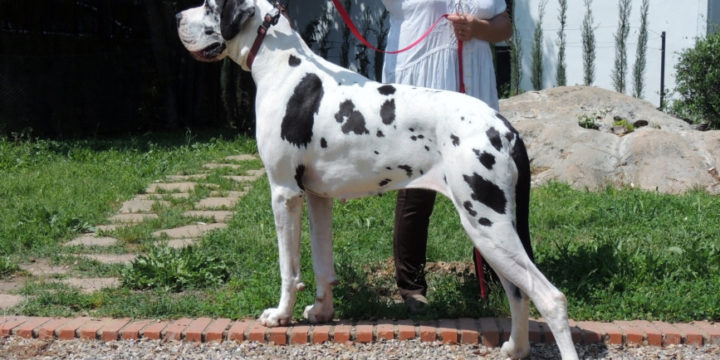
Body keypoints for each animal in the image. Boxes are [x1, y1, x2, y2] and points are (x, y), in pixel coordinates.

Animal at [179, 1, 580, 358]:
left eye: (210, 6)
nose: (178, 16)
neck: (283, 67)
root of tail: (504, 127)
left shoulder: (284, 194)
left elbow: (288, 268)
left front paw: (280, 315)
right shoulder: (317, 197)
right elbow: (323, 265)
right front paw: (321, 312)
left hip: (487, 224)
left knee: (550, 297)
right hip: (491, 231)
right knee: (518, 291)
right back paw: (515, 347)